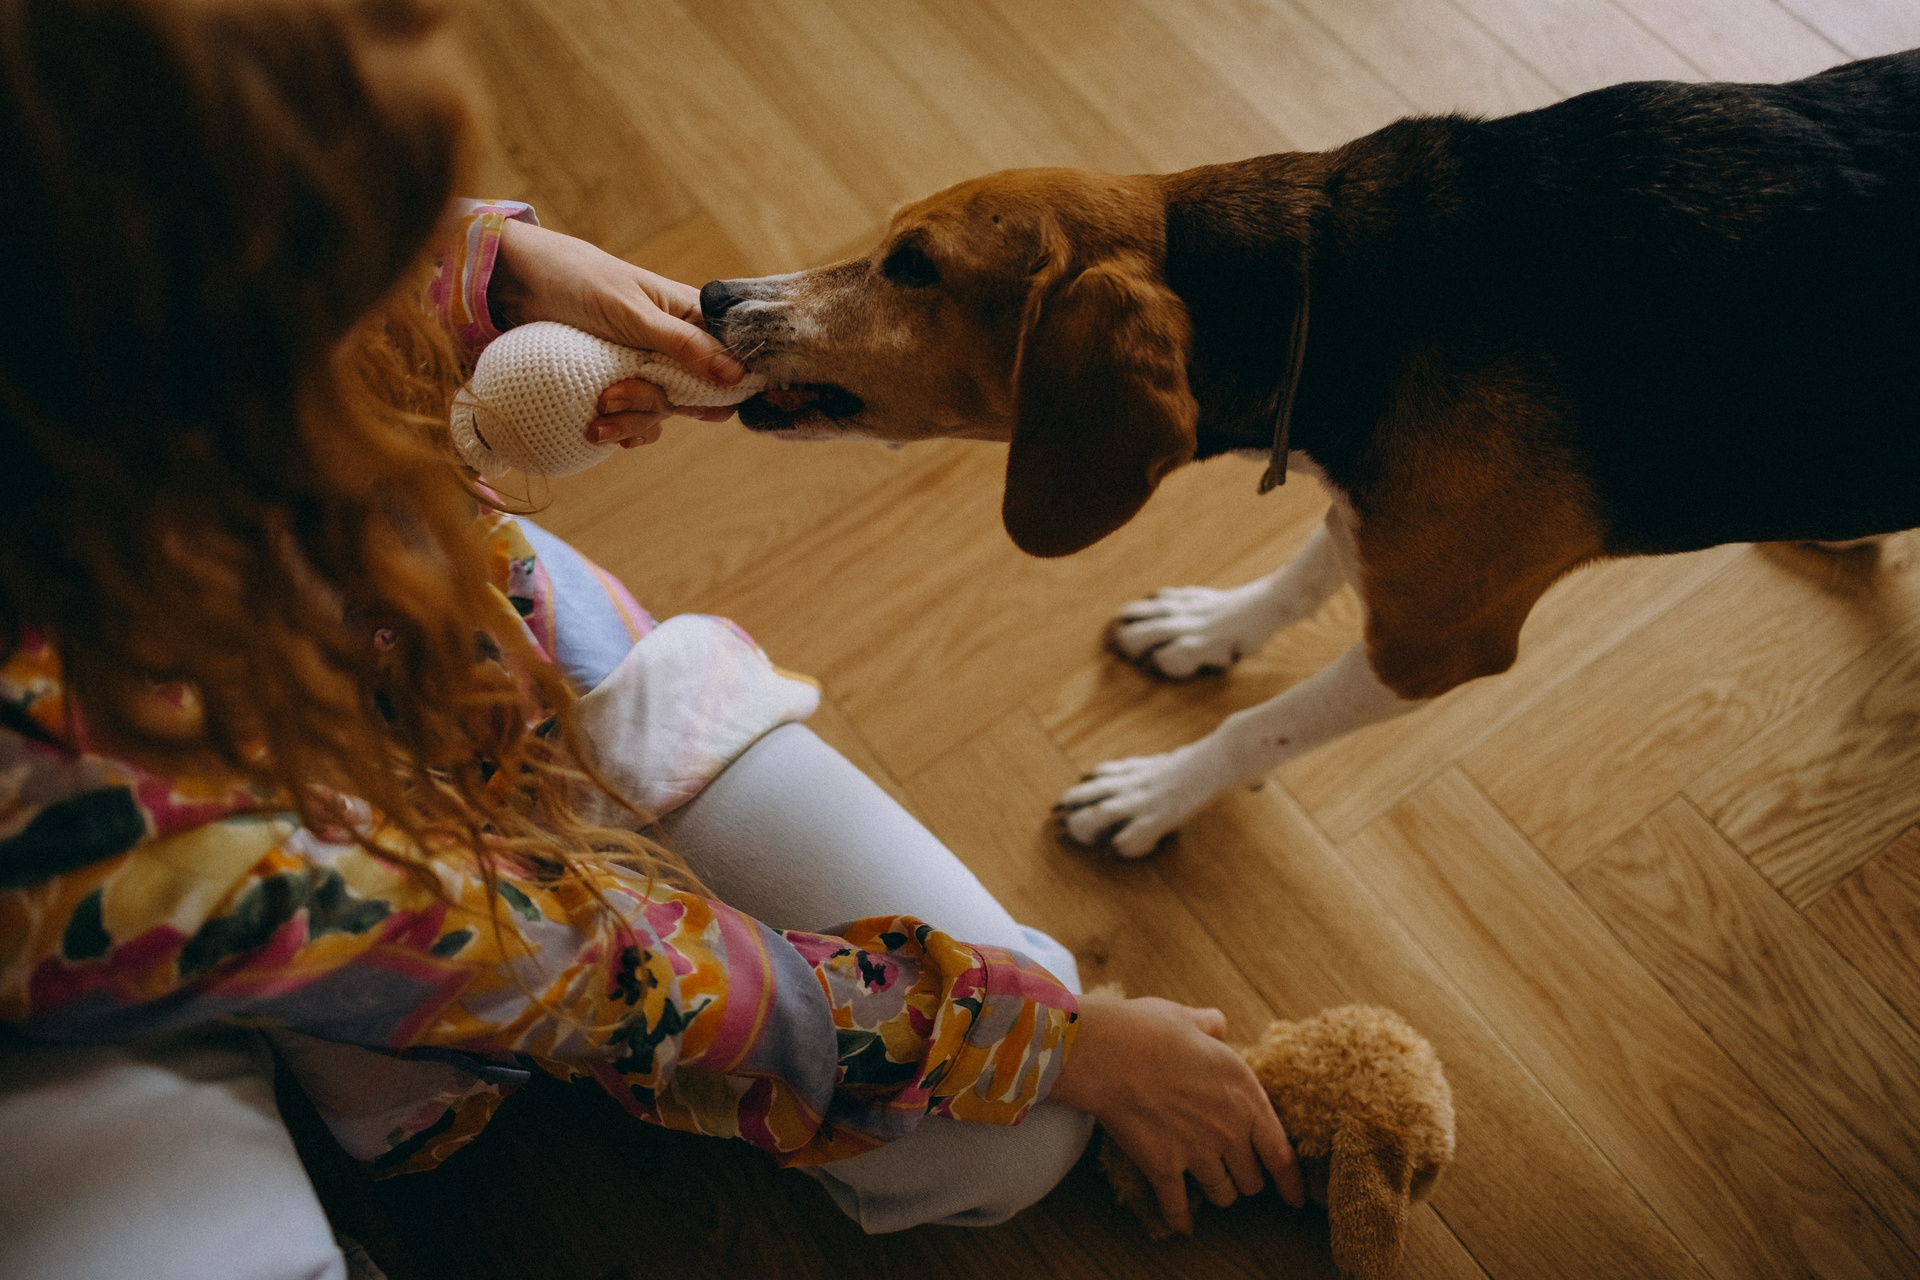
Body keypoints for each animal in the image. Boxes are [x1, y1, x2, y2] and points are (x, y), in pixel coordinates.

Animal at [699, 50, 1920, 858]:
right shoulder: (1382, 512)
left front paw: (1157, 791)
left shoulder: (1438, 637)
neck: (1331, 287)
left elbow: (1259, 726)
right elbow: (1300, 572)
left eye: (913, 266)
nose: (716, 294)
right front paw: (1208, 630)